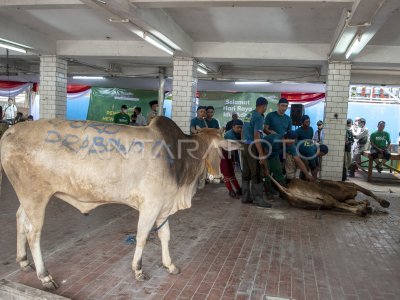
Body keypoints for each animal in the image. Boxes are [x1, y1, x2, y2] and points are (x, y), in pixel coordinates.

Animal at [0, 116, 238, 290]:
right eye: (216, 149)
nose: (217, 177)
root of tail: (11, 131)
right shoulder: (150, 206)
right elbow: (142, 237)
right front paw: (138, 270)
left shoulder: (163, 207)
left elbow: (165, 235)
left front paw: (169, 265)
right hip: (36, 197)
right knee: (33, 233)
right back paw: (45, 276)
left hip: (27, 197)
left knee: (20, 219)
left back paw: (23, 261)